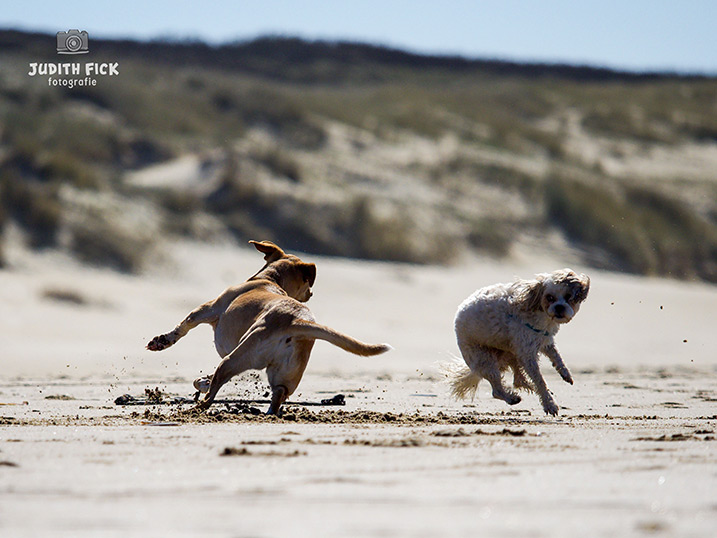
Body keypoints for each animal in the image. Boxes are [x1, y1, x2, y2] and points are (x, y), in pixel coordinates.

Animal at [147, 241, 392, 412]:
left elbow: (184, 326)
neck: (271, 279)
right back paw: (269, 413)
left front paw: (161, 341)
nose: (311, 294)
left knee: (217, 384)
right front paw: (202, 381)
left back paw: (198, 408)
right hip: (285, 374)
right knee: (279, 394)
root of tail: (295, 321)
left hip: (236, 356)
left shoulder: (207, 309)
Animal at [444, 268, 592, 414]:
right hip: (485, 360)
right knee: (497, 390)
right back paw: (512, 398)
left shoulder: (544, 340)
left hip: (512, 353)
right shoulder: (528, 353)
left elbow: (556, 356)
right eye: (550, 297)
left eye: (568, 297)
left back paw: (530, 388)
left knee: (518, 380)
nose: (559, 307)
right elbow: (539, 379)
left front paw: (565, 373)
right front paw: (549, 404)